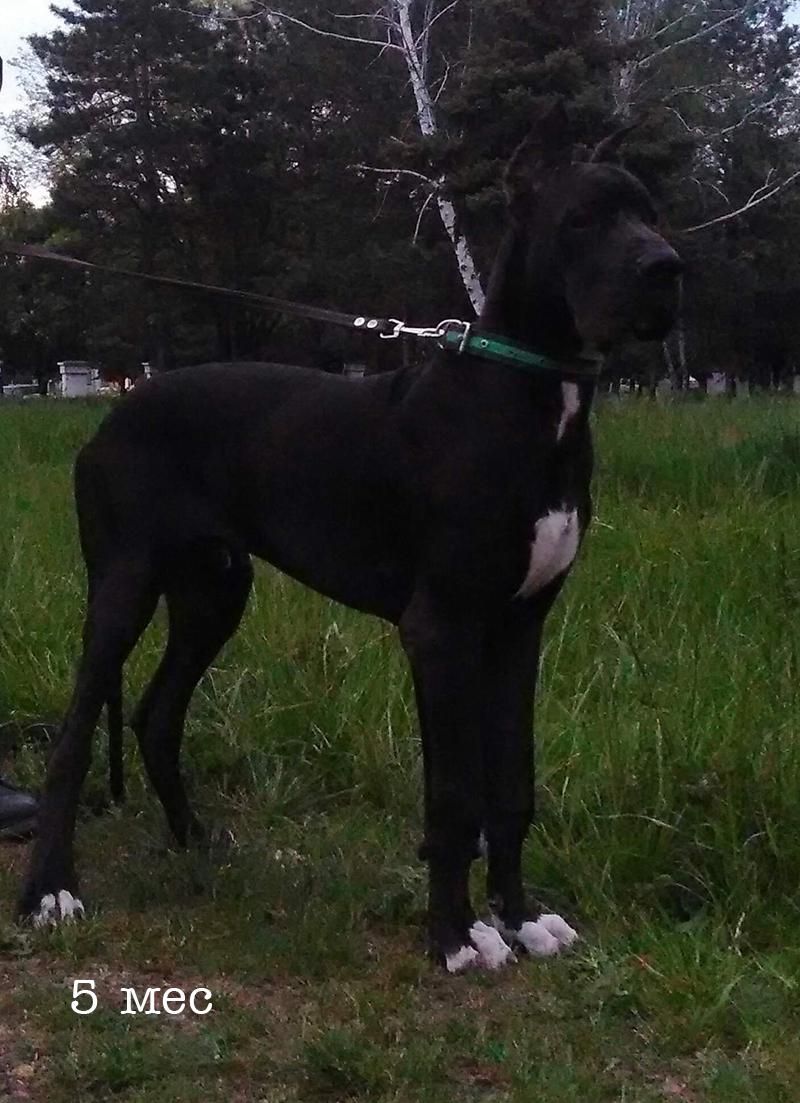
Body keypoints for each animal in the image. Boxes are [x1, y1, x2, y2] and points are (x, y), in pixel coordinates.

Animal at [18, 102, 682, 971]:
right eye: (582, 220)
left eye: (650, 213)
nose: (667, 268)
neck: (532, 391)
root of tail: (110, 413)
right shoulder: (441, 627)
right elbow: (453, 795)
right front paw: (452, 937)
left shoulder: (519, 625)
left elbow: (511, 784)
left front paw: (518, 916)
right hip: (123, 583)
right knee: (72, 737)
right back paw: (50, 890)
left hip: (214, 590)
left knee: (157, 716)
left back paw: (197, 841)